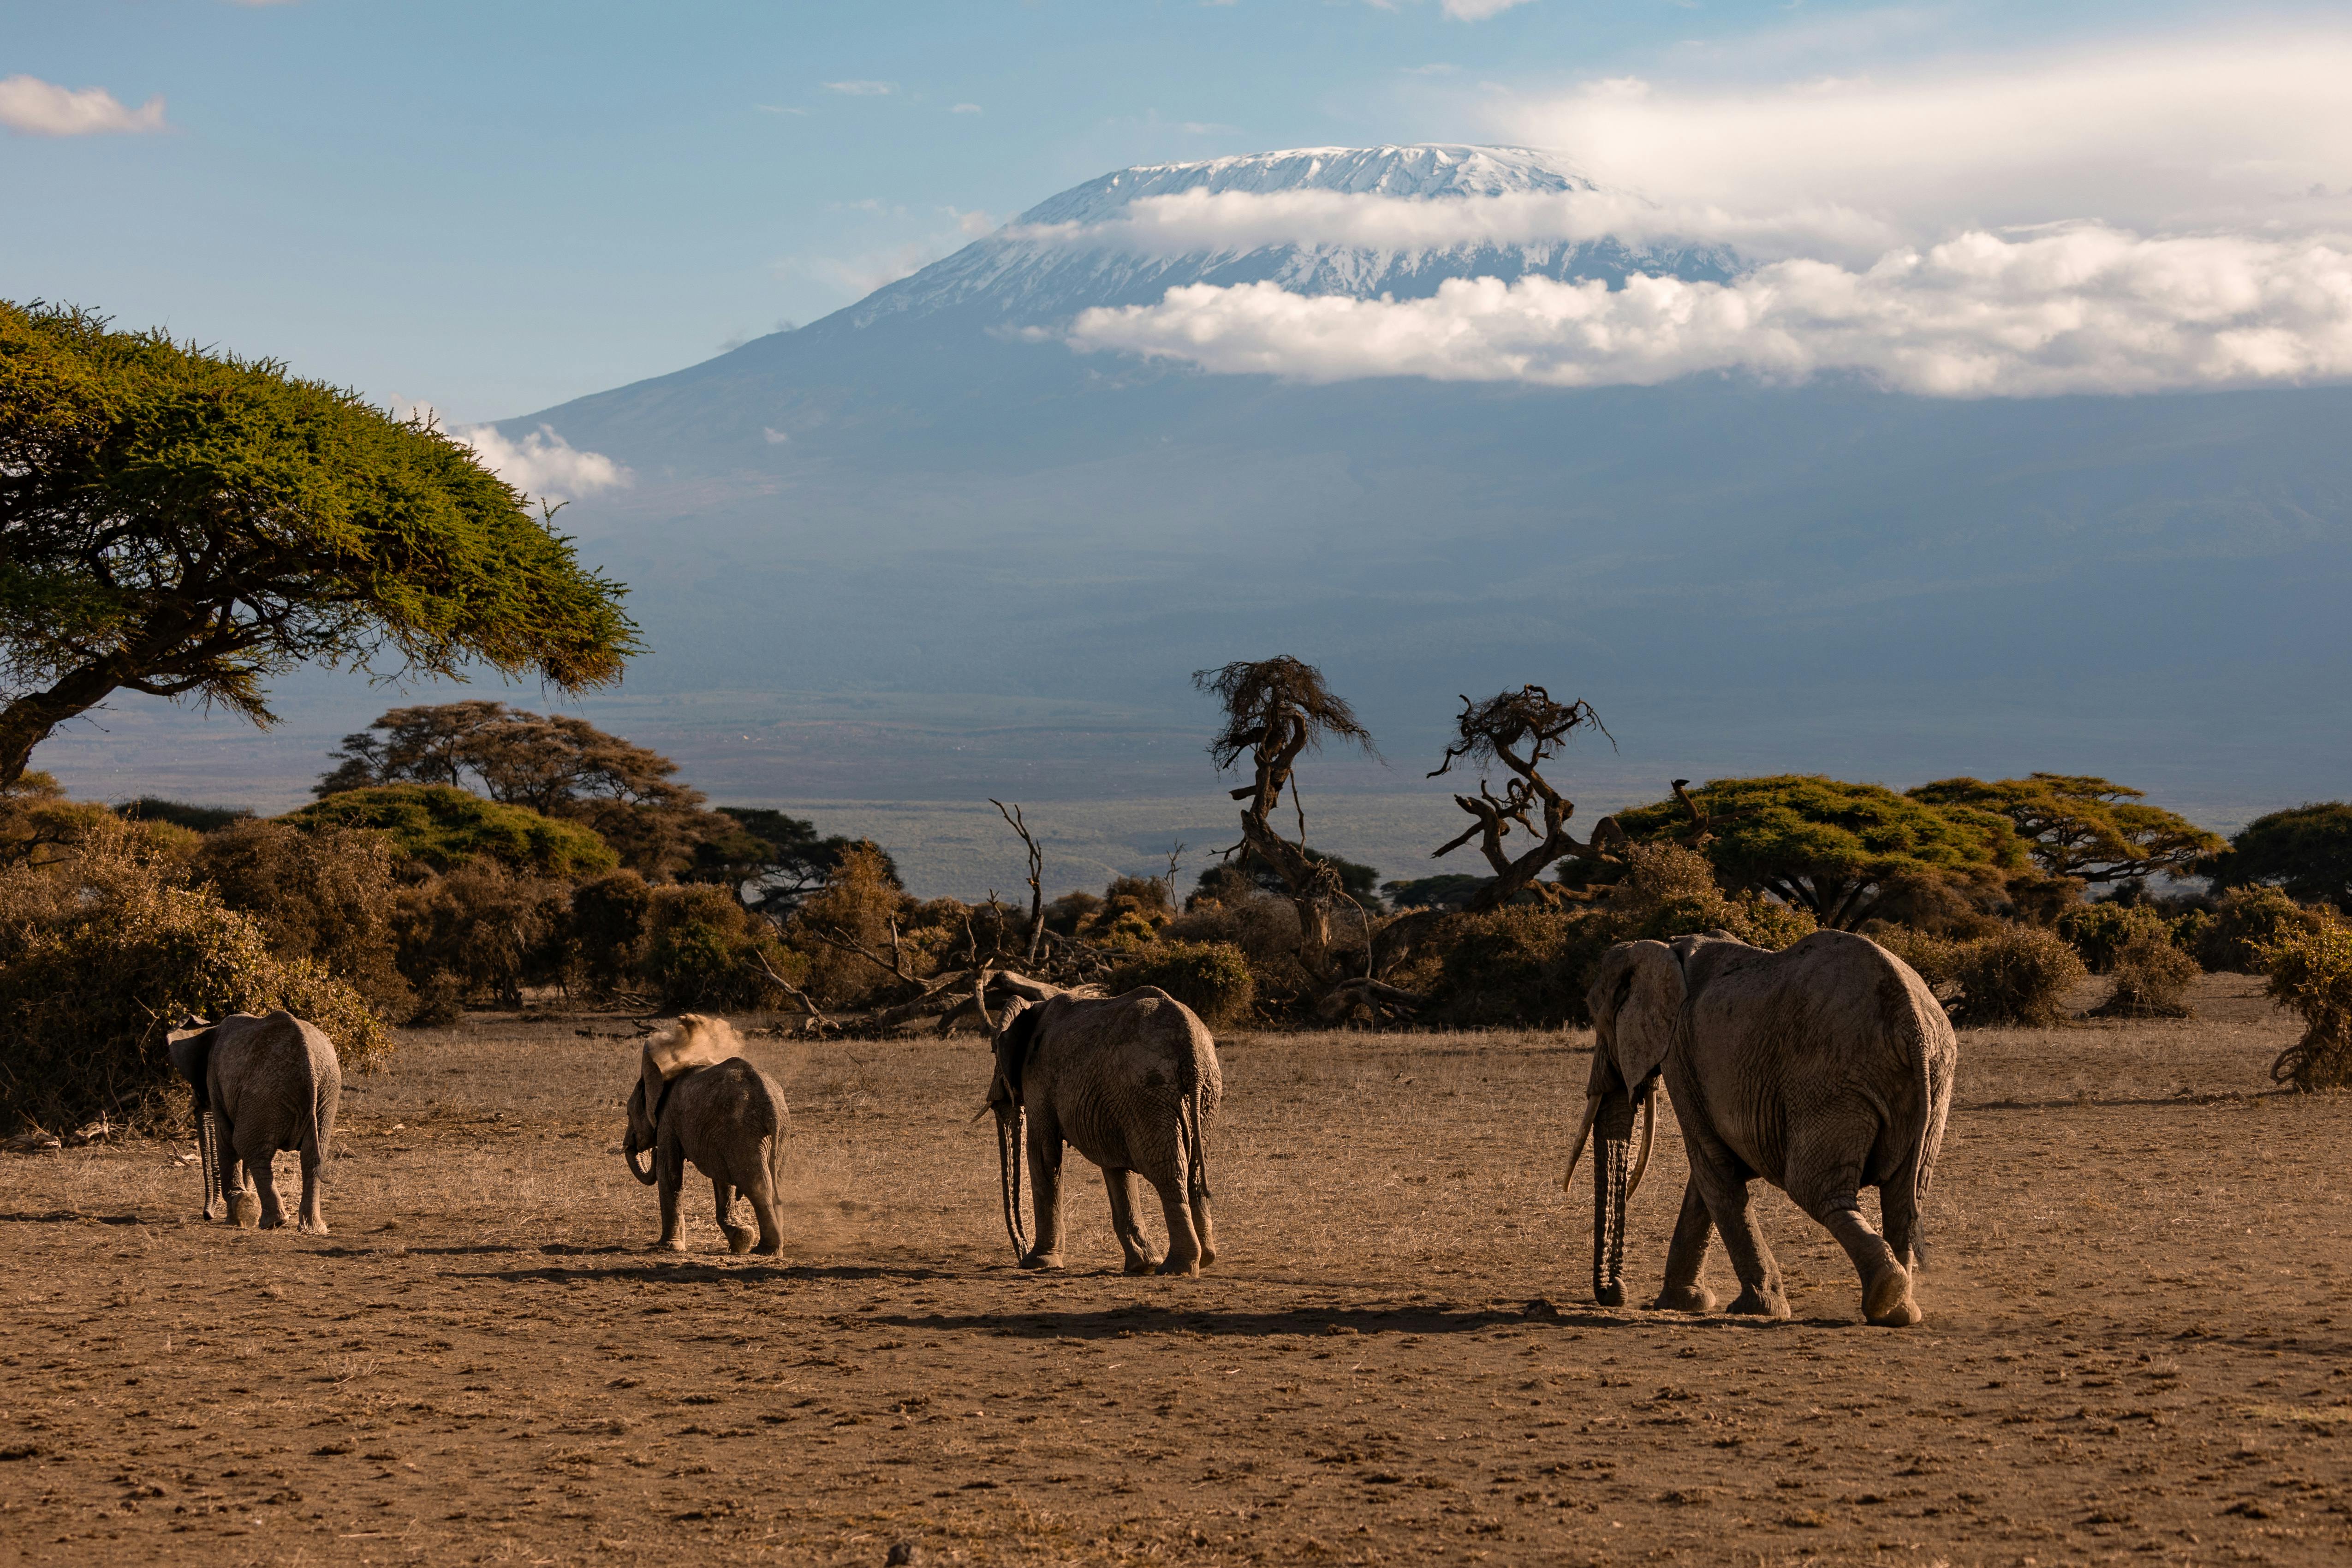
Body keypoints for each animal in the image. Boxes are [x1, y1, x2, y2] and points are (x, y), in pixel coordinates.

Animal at [168, 1011, 343, 1232]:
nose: (207, 1216)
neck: (210, 1029)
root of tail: (309, 1066)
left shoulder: (215, 1079)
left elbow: (226, 1139)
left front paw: (235, 1214)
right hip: (326, 1091)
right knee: (311, 1155)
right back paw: (312, 1228)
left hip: (267, 1091)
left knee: (247, 1146)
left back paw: (271, 1222)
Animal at [625, 1011, 790, 1260]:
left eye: (628, 1113)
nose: (651, 1150)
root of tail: (770, 1102)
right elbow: (722, 1179)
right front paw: (740, 1240)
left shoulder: (669, 1120)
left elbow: (669, 1174)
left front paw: (667, 1248)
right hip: (771, 1134)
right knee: (774, 1179)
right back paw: (772, 1249)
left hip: (744, 1130)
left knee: (757, 1184)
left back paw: (765, 1251)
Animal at [983, 992, 1223, 1279]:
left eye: (994, 1051)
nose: (1021, 1253)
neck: (1034, 1007)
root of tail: (1191, 1048)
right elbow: (1115, 1165)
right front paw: (1141, 1266)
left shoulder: (1039, 1077)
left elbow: (1043, 1155)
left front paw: (1037, 1264)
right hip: (1203, 1093)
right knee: (1194, 1169)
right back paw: (1204, 1260)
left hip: (1149, 1092)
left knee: (1167, 1172)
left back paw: (1175, 1269)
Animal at [1571, 930, 1957, 1326]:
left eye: (1597, 1016)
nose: (1614, 1294)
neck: (1663, 948)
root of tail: (1909, 1019)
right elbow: (1708, 1175)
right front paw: (1685, 1303)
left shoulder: (1679, 1053)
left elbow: (1710, 1165)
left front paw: (1756, 1308)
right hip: (1932, 1075)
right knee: (1904, 1195)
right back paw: (1899, 1311)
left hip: (1830, 1078)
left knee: (1815, 1188)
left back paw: (1885, 1293)